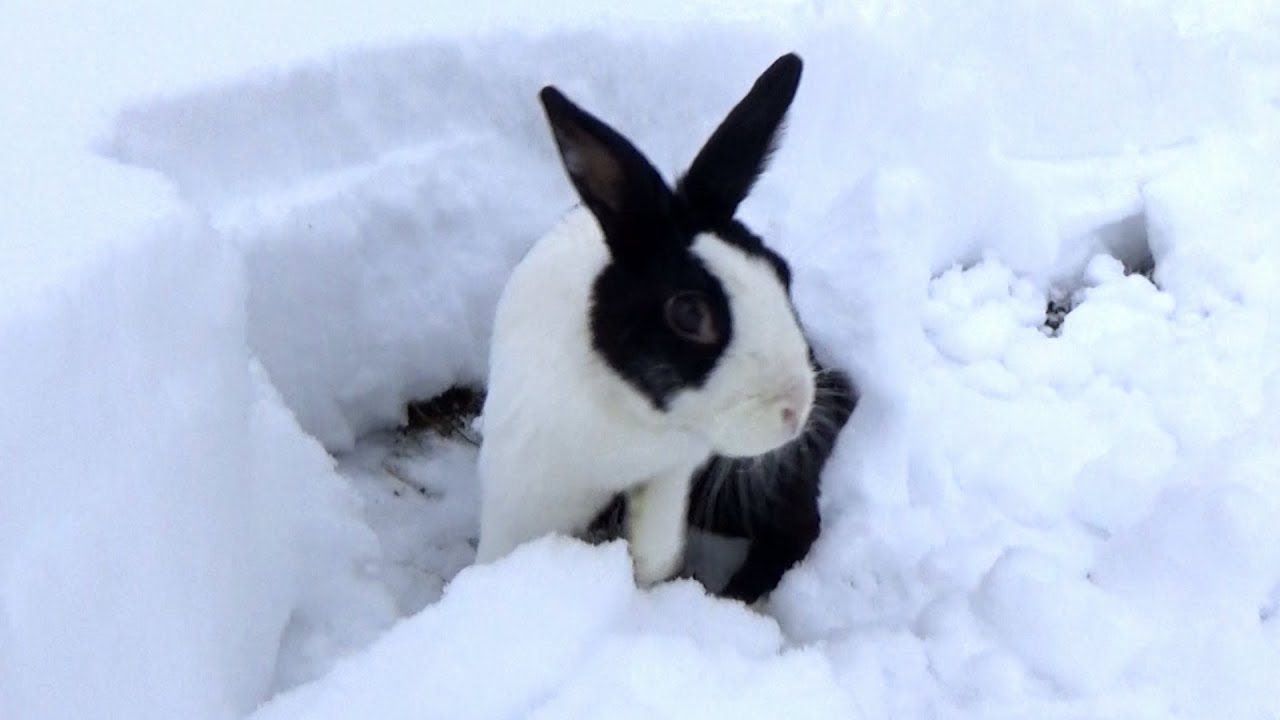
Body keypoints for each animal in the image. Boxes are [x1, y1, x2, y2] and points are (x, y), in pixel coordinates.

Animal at [476, 54, 814, 584]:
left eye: (782, 271)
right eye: (689, 314)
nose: (795, 410)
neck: (632, 413)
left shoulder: (671, 472)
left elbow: (656, 545)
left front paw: (649, 581)